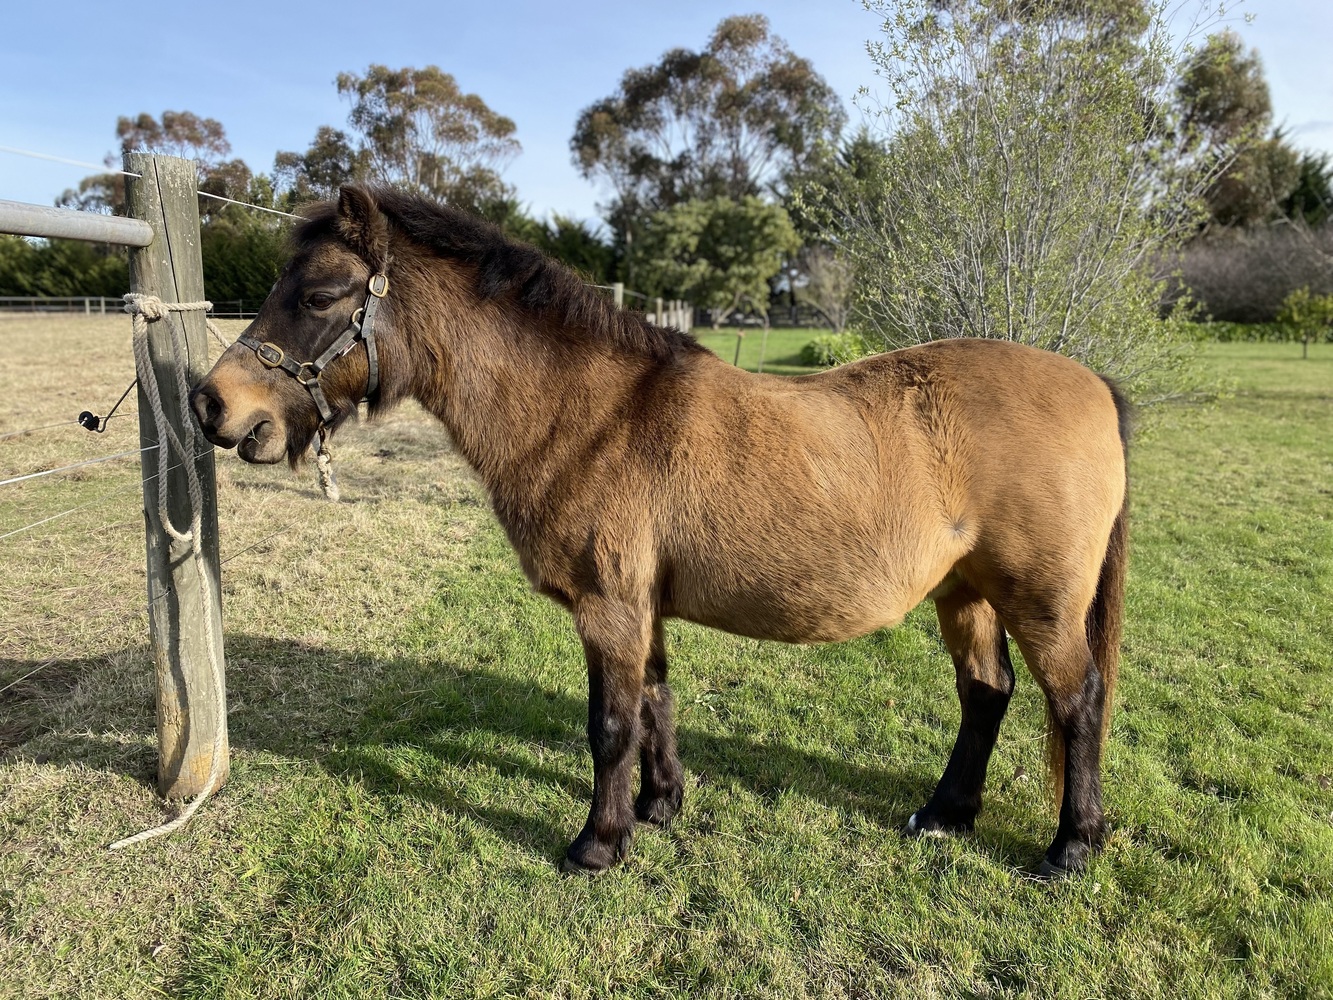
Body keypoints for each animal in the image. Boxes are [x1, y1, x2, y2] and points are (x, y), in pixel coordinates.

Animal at [191, 184, 1129, 878]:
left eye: (317, 295)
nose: (212, 405)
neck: (594, 415)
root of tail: (1093, 384)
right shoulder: (639, 609)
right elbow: (653, 703)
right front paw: (659, 805)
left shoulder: (607, 607)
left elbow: (609, 725)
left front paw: (598, 844)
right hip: (964, 592)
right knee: (986, 693)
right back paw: (944, 814)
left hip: (1038, 602)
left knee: (1075, 700)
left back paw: (1069, 847)